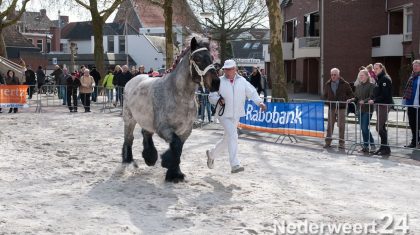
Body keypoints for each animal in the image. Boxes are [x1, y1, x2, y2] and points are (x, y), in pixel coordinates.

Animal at [121, 37, 220, 184]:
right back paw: (128, 160)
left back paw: (150, 158)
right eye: (197, 58)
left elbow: (178, 149)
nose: (216, 83)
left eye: (211, 58)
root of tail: (132, 80)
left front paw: (175, 173)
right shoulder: (164, 129)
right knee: (129, 138)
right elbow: (176, 146)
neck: (179, 95)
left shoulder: (186, 131)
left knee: (146, 133)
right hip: (129, 119)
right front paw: (168, 165)